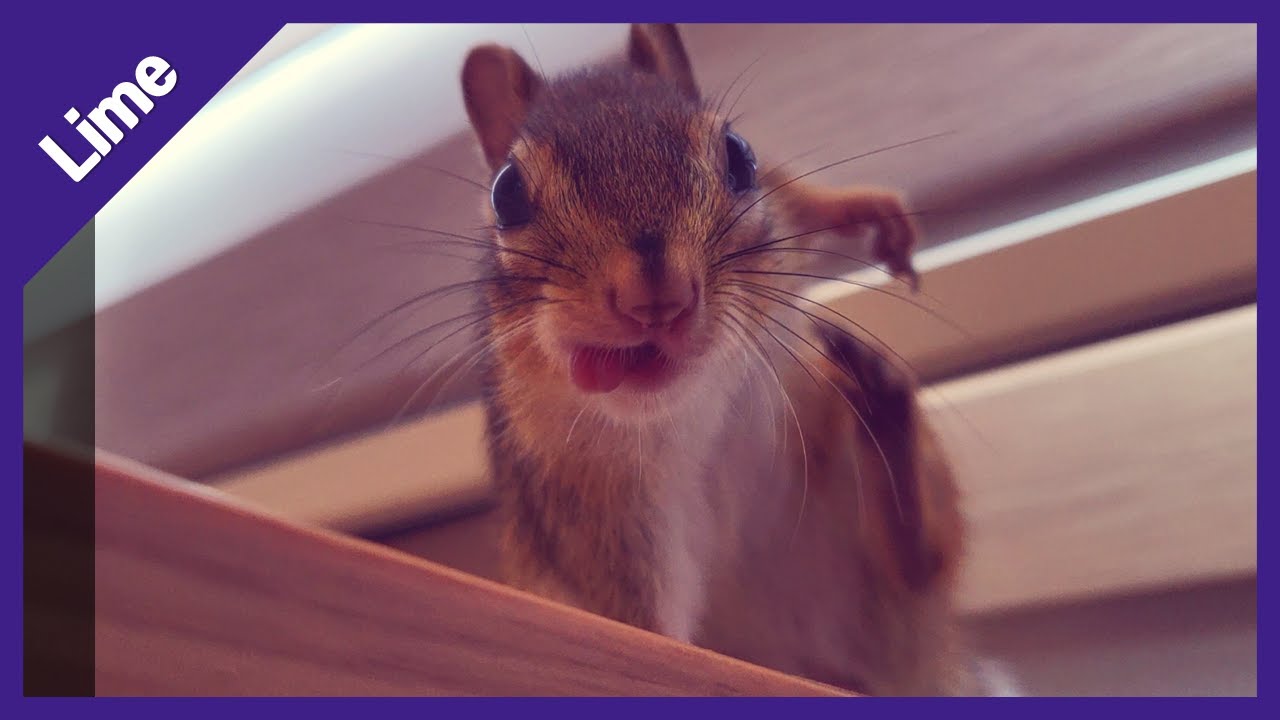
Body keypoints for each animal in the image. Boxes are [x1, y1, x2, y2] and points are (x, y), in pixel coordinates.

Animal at [457, 24, 999, 696]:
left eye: (740, 154)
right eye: (505, 193)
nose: (656, 297)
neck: (691, 406)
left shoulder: (780, 207)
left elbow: (803, 199)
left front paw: (872, 213)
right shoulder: (593, 510)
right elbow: (640, 629)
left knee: (919, 563)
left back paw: (879, 403)